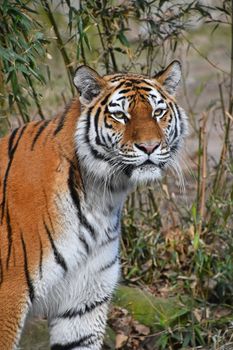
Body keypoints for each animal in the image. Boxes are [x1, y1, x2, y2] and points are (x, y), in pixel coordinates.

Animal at [0, 60, 187, 350]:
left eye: (158, 112)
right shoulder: (9, 296)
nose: (149, 146)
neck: (101, 196)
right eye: (120, 115)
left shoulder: (83, 301)